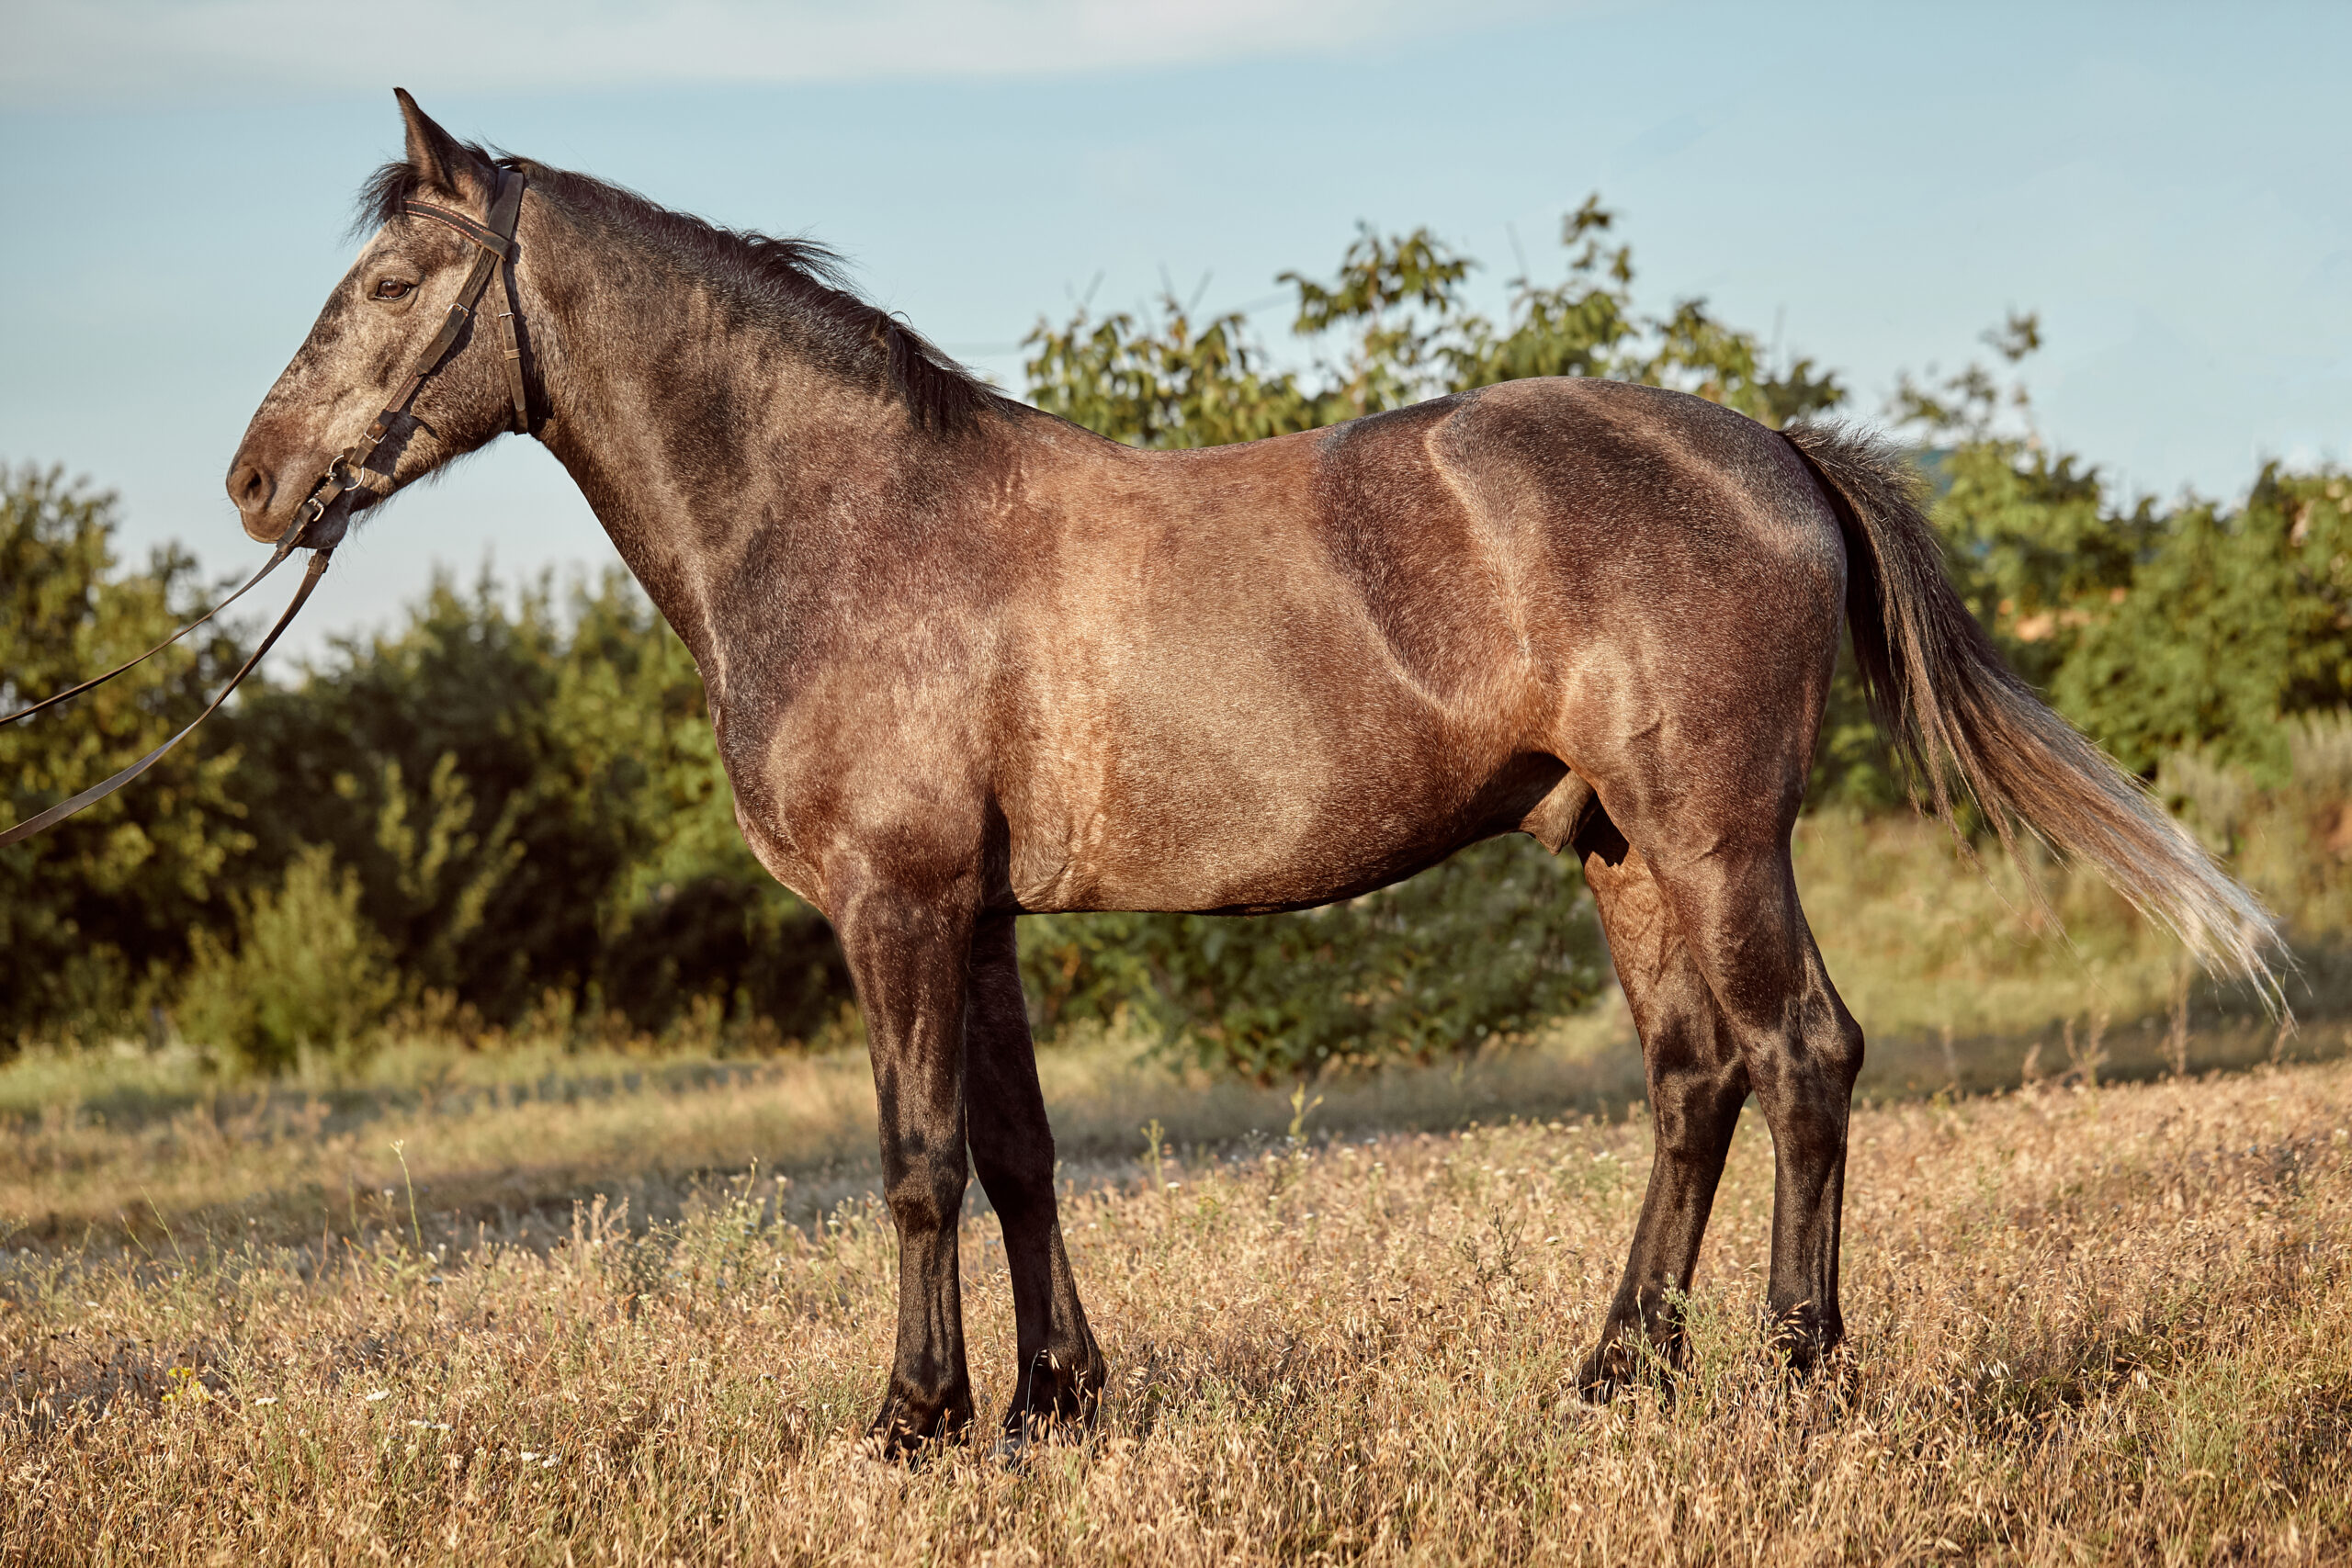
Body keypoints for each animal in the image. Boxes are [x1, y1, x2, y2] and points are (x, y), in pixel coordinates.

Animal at [224, 92, 2277, 1457]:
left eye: (394, 278)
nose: (256, 482)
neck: (849, 520)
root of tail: (1767, 447)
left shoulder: (898, 903)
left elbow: (913, 1158)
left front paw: (910, 1418)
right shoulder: (976, 914)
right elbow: (1019, 1151)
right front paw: (1054, 1404)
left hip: (1715, 839)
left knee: (1804, 1057)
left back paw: (1797, 1376)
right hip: (1621, 851)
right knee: (1694, 1080)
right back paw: (1613, 1372)